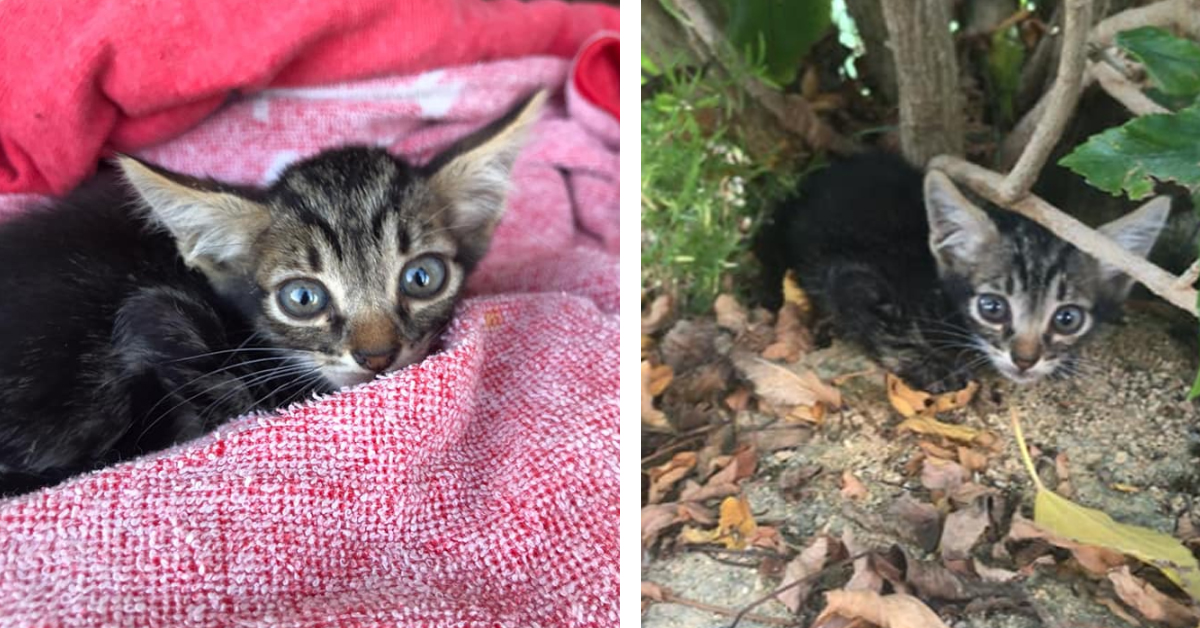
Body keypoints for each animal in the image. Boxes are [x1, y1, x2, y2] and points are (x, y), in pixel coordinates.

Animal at [758, 152, 1171, 393]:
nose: (1025, 360)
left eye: (1067, 318)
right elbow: (879, 321)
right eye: (992, 308)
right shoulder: (851, 274)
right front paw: (928, 365)